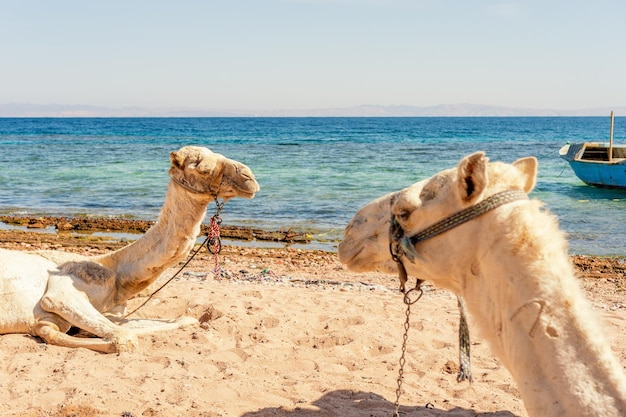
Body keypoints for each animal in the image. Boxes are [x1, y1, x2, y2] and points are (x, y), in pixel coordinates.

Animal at [0, 145, 258, 352]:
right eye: (202, 169)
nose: (250, 177)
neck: (115, 273)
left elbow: (183, 320)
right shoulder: (61, 295)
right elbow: (125, 338)